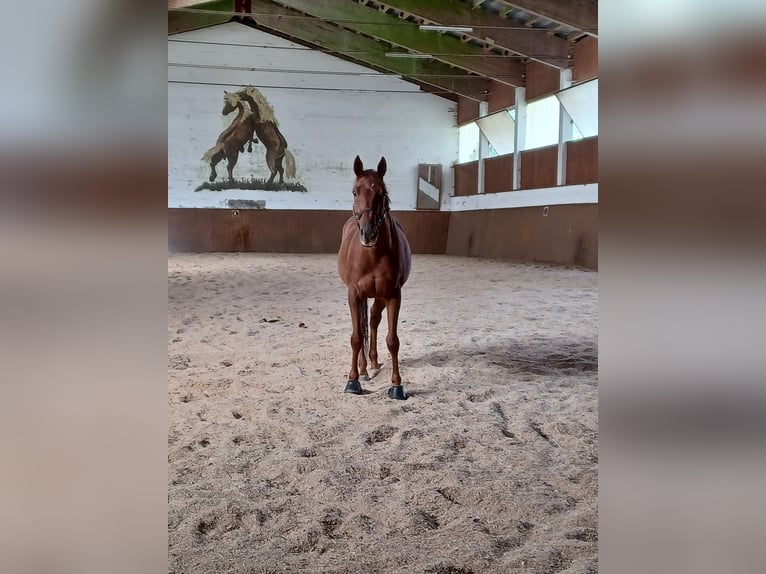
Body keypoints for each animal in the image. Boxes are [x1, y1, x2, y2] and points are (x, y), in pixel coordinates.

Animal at [338, 155, 412, 402]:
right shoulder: (354, 294)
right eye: (354, 192)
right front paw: (352, 381)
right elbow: (356, 337)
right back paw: (362, 369)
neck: (373, 255)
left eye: (382, 192)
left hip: (379, 297)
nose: (368, 234)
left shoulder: (393, 295)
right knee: (363, 327)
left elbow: (392, 340)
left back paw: (372, 361)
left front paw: (397, 385)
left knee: (372, 319)